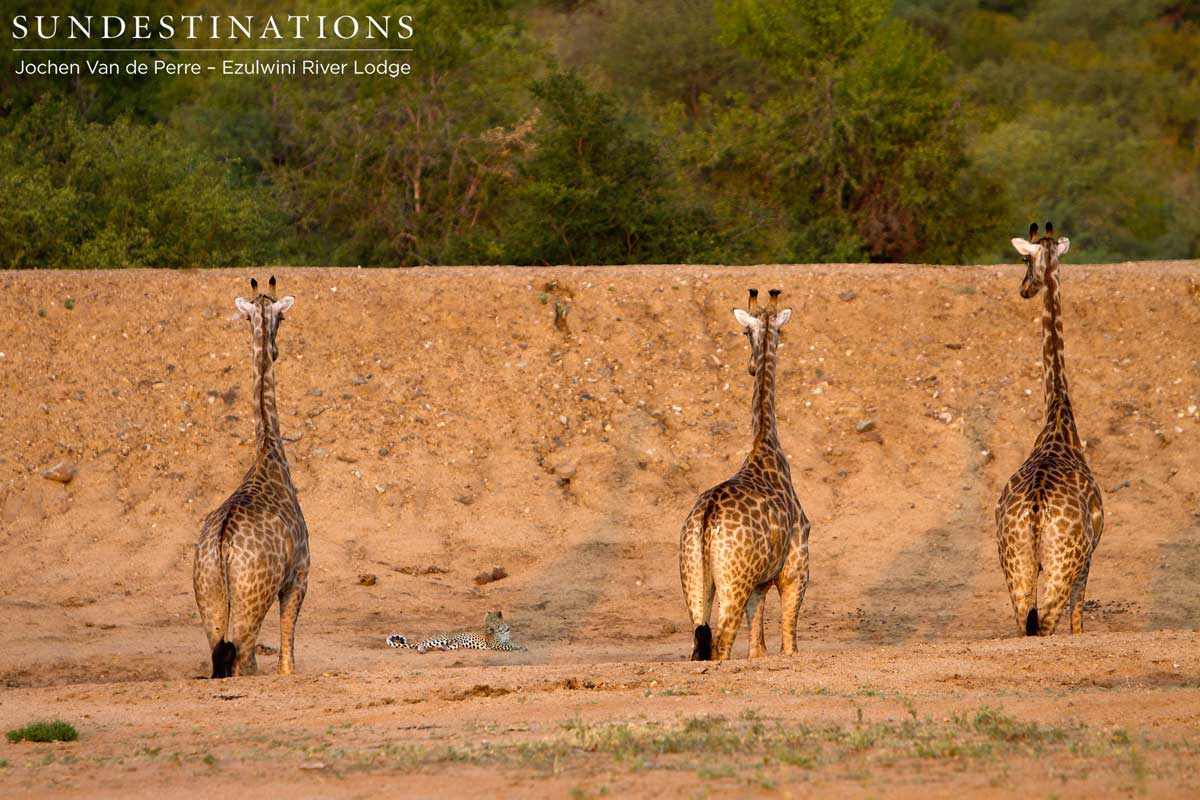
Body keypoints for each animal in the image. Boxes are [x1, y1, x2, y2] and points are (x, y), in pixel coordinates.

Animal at [193, 276, 311, 677]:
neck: (268, 453)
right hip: (251, 599)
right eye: (283, 317)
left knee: (223, 658)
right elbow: (287, 660)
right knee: (244, 658)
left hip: (210, 599)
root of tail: (221, 546)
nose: (274, 350)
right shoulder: (299, 575)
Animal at [385, 611, 528, 653]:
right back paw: (422, 649)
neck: (502, 630)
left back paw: (442, 649)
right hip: (442, 638)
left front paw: (522, 647)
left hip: (454, 644)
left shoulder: (508, 639)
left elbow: (513, 643)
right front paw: (519, 649)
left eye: (491, 620)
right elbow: (508, 646)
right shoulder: (495, 644)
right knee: (423, 643)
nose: (486, 627)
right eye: (486, 621)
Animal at [679, 288, 811, 661]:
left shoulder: (759, 583)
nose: (751, 367)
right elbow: (790, 643)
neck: (765, 443)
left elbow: (757, 646)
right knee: (721, 642)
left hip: (695, 578)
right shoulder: (796, 569)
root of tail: (707, 520)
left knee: (700, 639)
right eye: (744, 333)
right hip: (733, 581)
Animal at [995, 223, 1104, 637]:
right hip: (1062, 561)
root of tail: (1037, 512)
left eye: (1026, 261)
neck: (1058, 417)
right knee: (1046, 624)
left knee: (1025, 623)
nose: (1024, 288)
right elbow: (1078, 619)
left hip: (1016, 562)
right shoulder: (1089, 555)